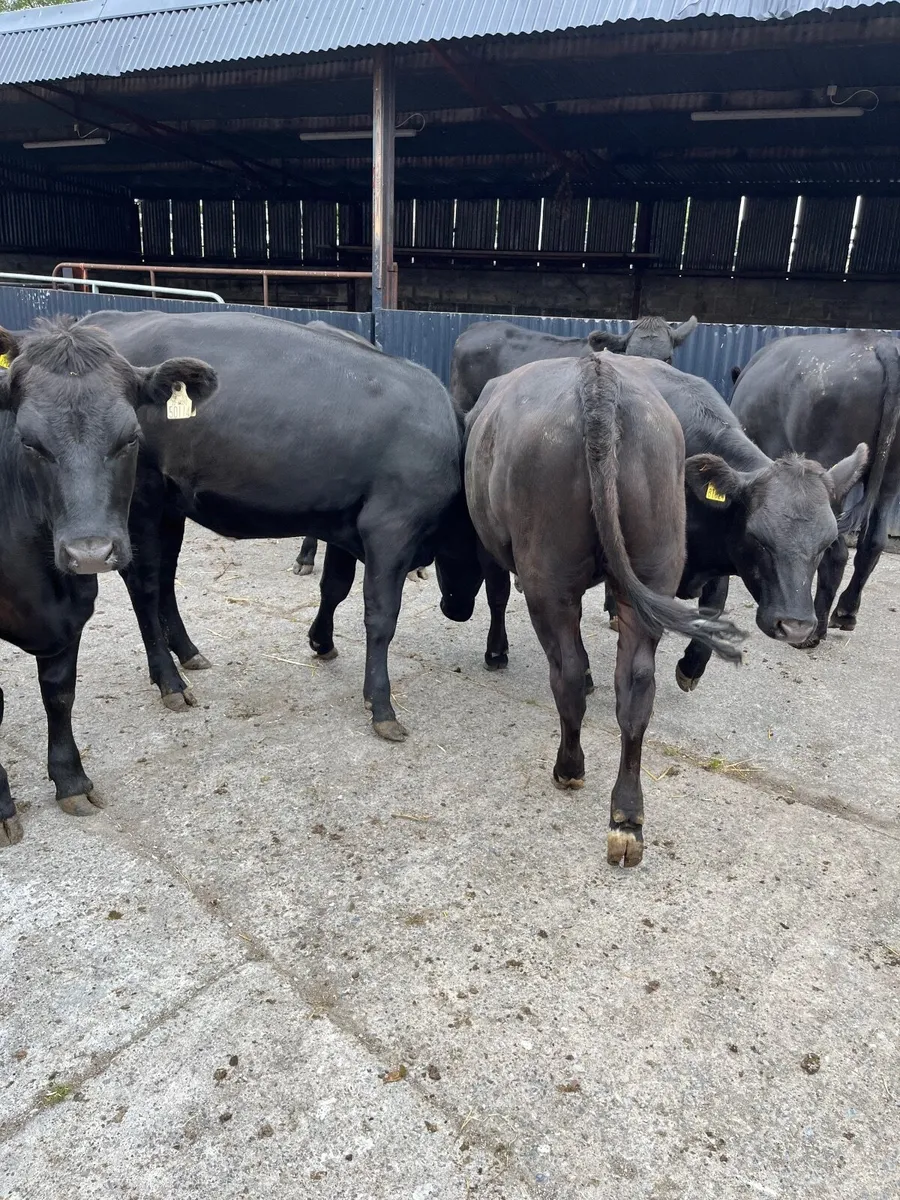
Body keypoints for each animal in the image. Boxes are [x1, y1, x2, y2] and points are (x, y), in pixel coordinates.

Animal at [0, 318, 216, 846]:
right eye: (28, 441)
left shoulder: (70, 614)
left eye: (131, 437)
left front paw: (70, 779)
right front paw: (2, 808)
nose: (89, 553)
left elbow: (60, 692)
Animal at [80, 309, 482, 742]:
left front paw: (322, 641)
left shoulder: (346, 521)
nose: (458, 611)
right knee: (143, 584)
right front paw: (381, 705)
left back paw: (188, 653)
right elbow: (381, 617)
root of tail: (109, 318)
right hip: (140, 499)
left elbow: (334, 586)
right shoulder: (390, 528)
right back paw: (169, 681)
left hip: (171, 504)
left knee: (165, 576)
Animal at [465, 349, 745, 868]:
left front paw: (497, 653)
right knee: (636, 685)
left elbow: (496, 594)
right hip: (655, 565)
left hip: (549, 578)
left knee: (567, 673)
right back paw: (627, 819)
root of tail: (598, 380)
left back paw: (569, 767)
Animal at [731, 333, 900, 644]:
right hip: (891, 478)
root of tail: (880, 342)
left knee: (837, 552)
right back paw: (845, 613)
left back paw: (814, 631)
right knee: (874, 542)